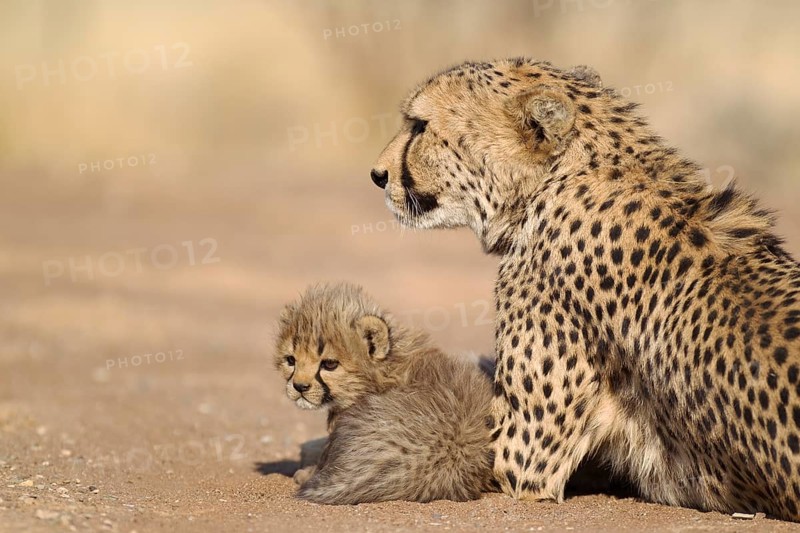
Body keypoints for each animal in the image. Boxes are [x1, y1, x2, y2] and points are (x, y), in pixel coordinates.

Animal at [273, 282, 495, 504]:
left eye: (329, 364)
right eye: (291, 360)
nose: (299, 387)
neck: (387, 370)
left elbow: (322, 456)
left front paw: (305, 472)